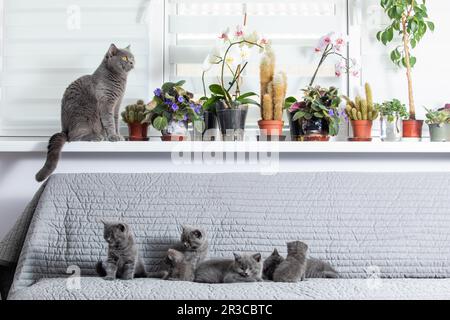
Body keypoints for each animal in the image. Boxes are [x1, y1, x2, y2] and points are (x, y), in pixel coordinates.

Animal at [35, 44, 134, 182]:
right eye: (124, 58)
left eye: (132, 57)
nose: (132, 62)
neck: (119, 80)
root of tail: (64, 129)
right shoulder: (106, 104)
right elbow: (109, 121)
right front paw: (113, 136)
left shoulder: (117, 105)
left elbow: (115, 121)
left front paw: (118, 135)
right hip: (84, 116)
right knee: (73, 137)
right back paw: (96, 137)